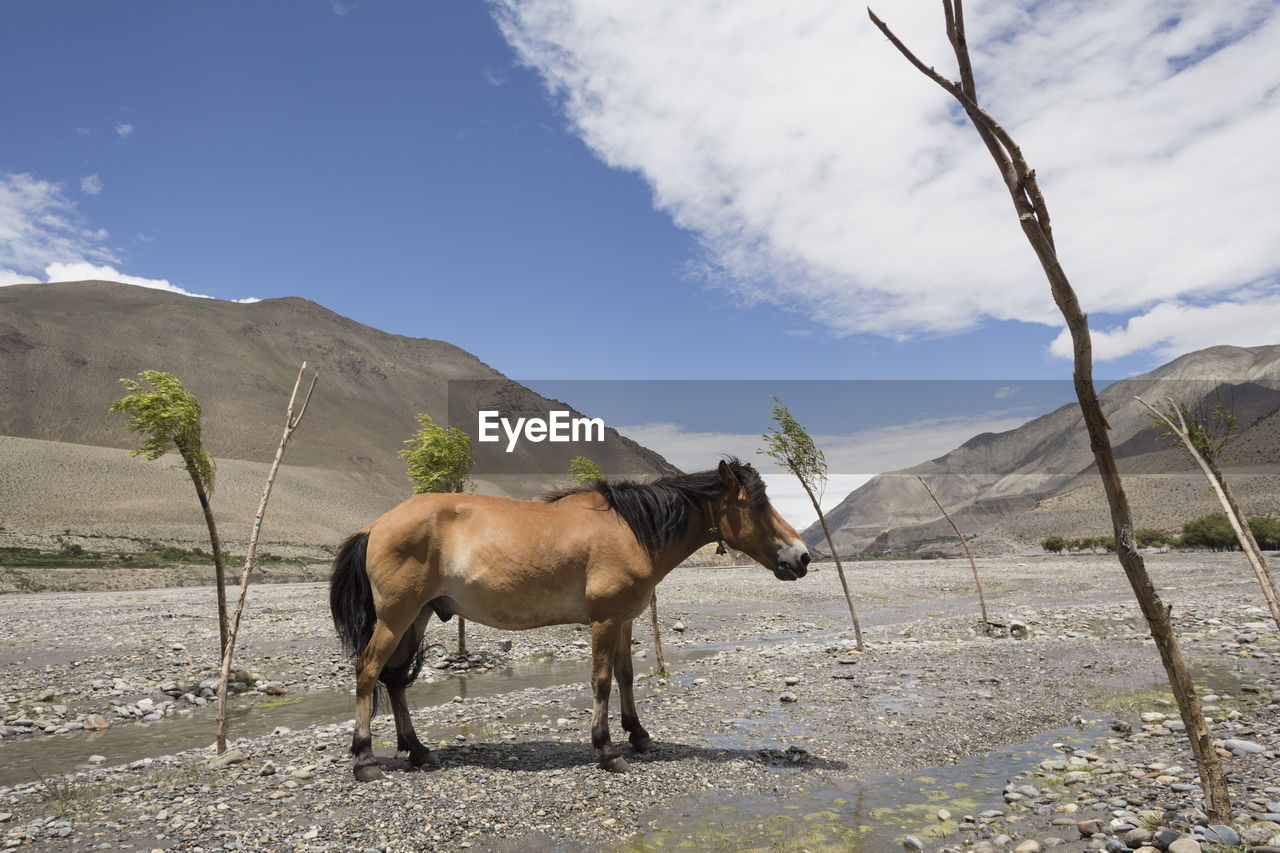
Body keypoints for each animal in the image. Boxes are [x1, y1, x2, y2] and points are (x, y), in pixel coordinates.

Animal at [330, 458, 808, 778]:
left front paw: (639, 735)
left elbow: (626, 676)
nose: (801, 556)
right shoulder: (603, 621)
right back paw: (365, 759)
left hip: (418, 617)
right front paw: (607, 749)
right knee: (368, 672)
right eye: (757, 505)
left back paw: (418, 750)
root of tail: (376, 525)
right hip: (396, 618)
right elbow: (601, 681)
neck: (631, 528)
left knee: (394, 681)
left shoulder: (624, 619)